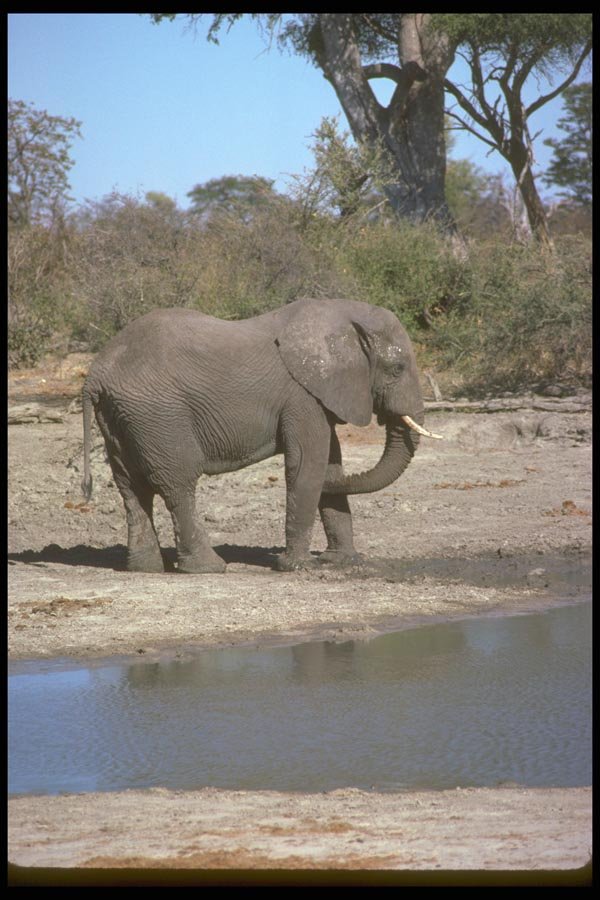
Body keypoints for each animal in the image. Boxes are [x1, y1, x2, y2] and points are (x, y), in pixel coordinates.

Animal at [81, 297, 442, 574]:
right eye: (396, 369)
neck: (337, 314)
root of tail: (95, 374)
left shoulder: (318, 396)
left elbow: (330, 461)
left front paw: (344, 562)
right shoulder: (301, 396)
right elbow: (306, 466)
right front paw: (297, 568)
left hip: (122, 418)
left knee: (132, 488)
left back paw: (146, 568)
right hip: (158, 414)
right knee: (178, 484)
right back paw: (210, 568)